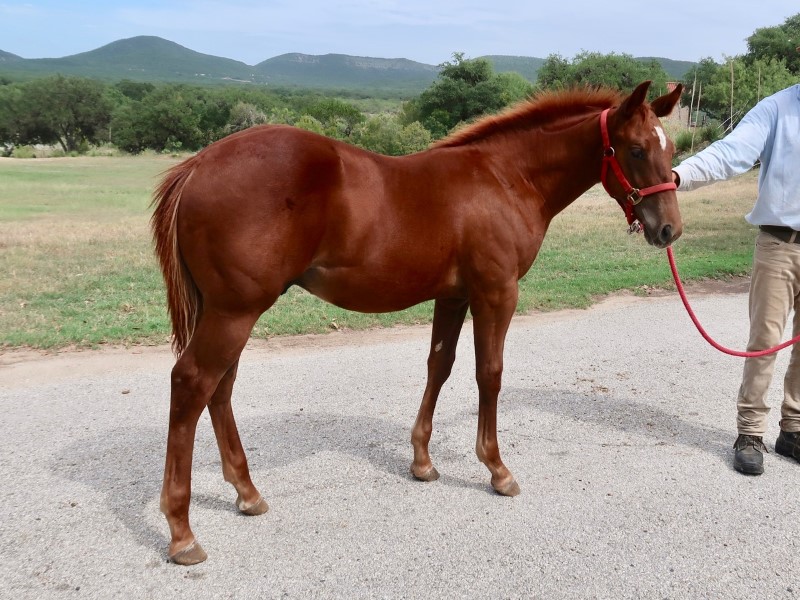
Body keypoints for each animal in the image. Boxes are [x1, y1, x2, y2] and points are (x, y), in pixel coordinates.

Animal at [153, 78, 684, 564]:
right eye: (635, 149)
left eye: (671, 147)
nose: (669, 230)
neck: (505, 178)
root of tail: (198, 165)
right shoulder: (496, 294)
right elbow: (489, 374)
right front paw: (497, 469)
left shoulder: (452, 297)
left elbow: (439, 367)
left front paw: (423, 462)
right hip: (234, 312)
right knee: (192, 383)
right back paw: (182, 532)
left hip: (229, 312)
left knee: (220, 388)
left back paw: (247, 493)